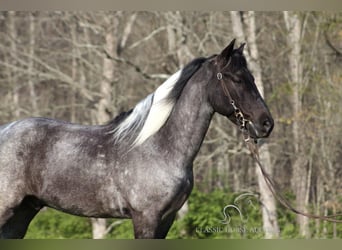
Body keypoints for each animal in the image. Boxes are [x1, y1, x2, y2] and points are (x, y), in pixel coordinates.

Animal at [0, 39, 274, 238]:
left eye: (251, 78)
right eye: (237, 79)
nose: (266, 124)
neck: (160, 147)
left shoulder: (166, 220)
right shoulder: (146, 218)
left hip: (23, 212)